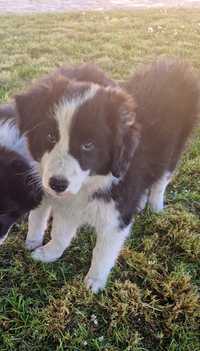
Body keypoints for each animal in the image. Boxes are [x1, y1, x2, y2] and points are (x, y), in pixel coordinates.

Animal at [15, 59, 198, 292]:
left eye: (88, 145)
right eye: (50, 136)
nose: (57, 184)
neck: (92, 181)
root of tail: (174, 63)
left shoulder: (115, 218)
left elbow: (103, 251)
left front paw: (95, 281)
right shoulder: (69, 204)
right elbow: (61, 233)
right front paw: (50, 253)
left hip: (174, 149)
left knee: (161, 180)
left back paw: (155, 206)